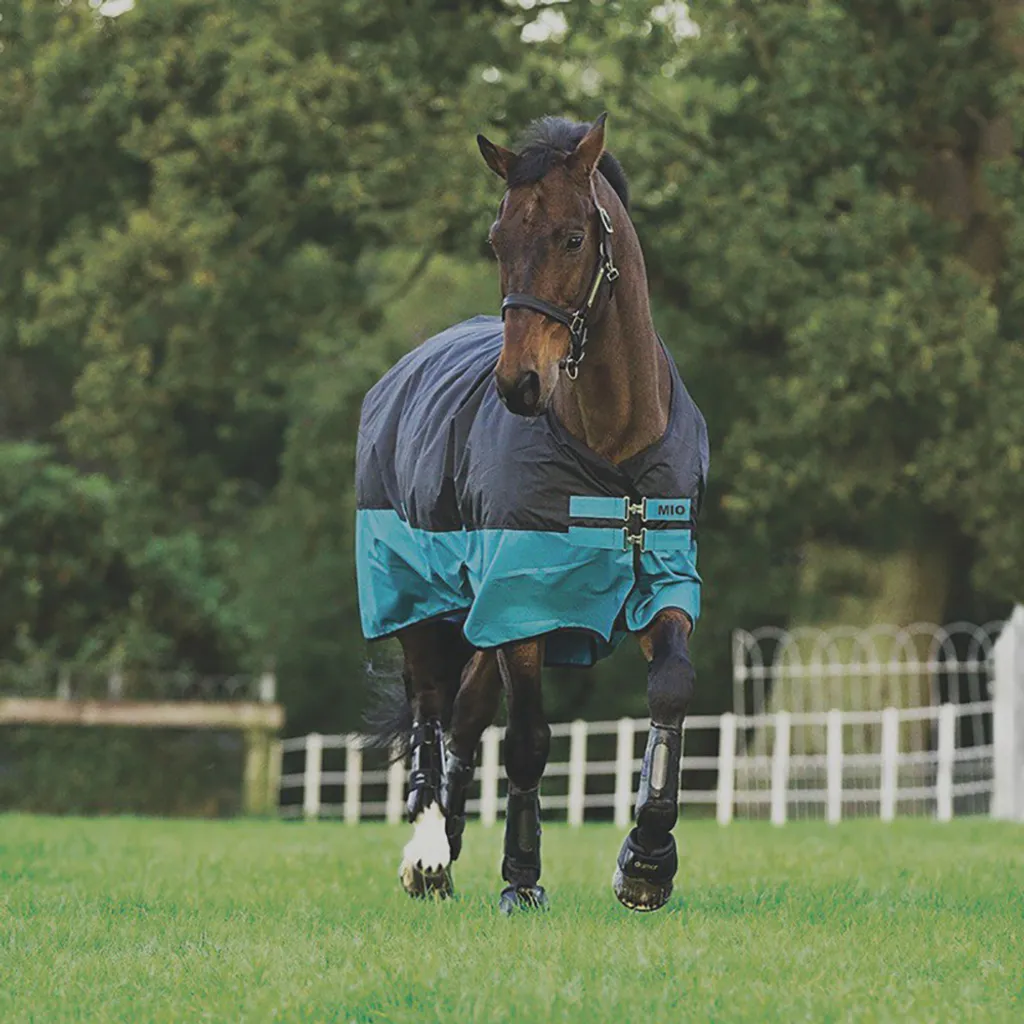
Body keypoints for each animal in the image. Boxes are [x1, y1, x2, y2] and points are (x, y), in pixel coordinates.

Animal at [355, 113, 708, 913]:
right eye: (498, 239)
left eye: (573, 238)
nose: (518, 383)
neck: (611, 447)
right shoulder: (523, 603)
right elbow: (528, 740)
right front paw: (521, 878)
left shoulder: (663, 579)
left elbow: (670, 690)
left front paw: (647, 860)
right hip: (420, 600)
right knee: (431, 711)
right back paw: (428, 851)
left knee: (463, 717)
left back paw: (450, 842)